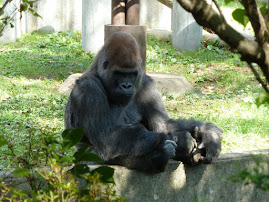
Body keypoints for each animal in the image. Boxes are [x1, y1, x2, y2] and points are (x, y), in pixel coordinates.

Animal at [64, 32, 222, 173]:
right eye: (119, 73)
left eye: (132, 74)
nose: (126, 86)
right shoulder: (88, 89)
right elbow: (107, 138)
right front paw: (181, 140)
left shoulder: (146, 85)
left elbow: (164, 124)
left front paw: (208, 132)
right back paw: (159, 157)